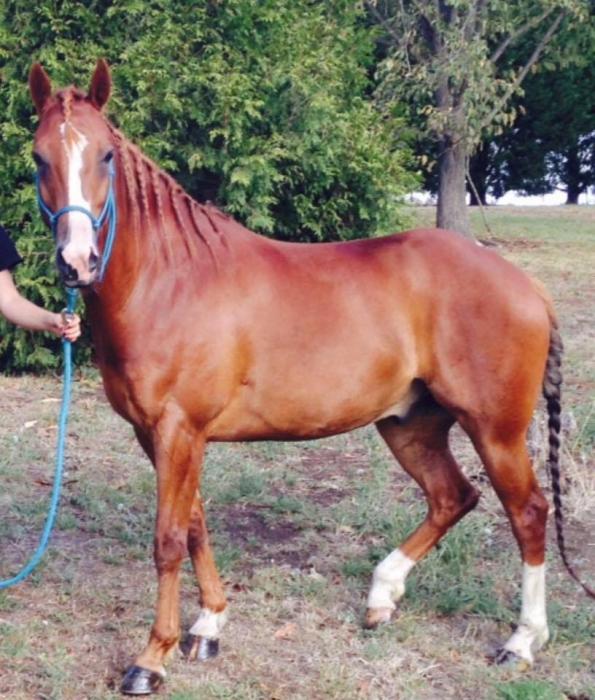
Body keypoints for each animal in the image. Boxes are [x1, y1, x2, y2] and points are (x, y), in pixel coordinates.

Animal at [28, 60, 591, 696]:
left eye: (104, 156)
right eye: (39, 156)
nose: (77, 262)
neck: (169, 280)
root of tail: (524, 283)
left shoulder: (177, 431)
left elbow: (168, 539)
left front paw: (152, 657)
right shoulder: (162, 436)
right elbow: (196, 523)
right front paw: (209, 624)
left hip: (496, 431)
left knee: (528, 513)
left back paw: (522, 641)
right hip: (410, 425)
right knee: (454, 496)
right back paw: (382, 596)